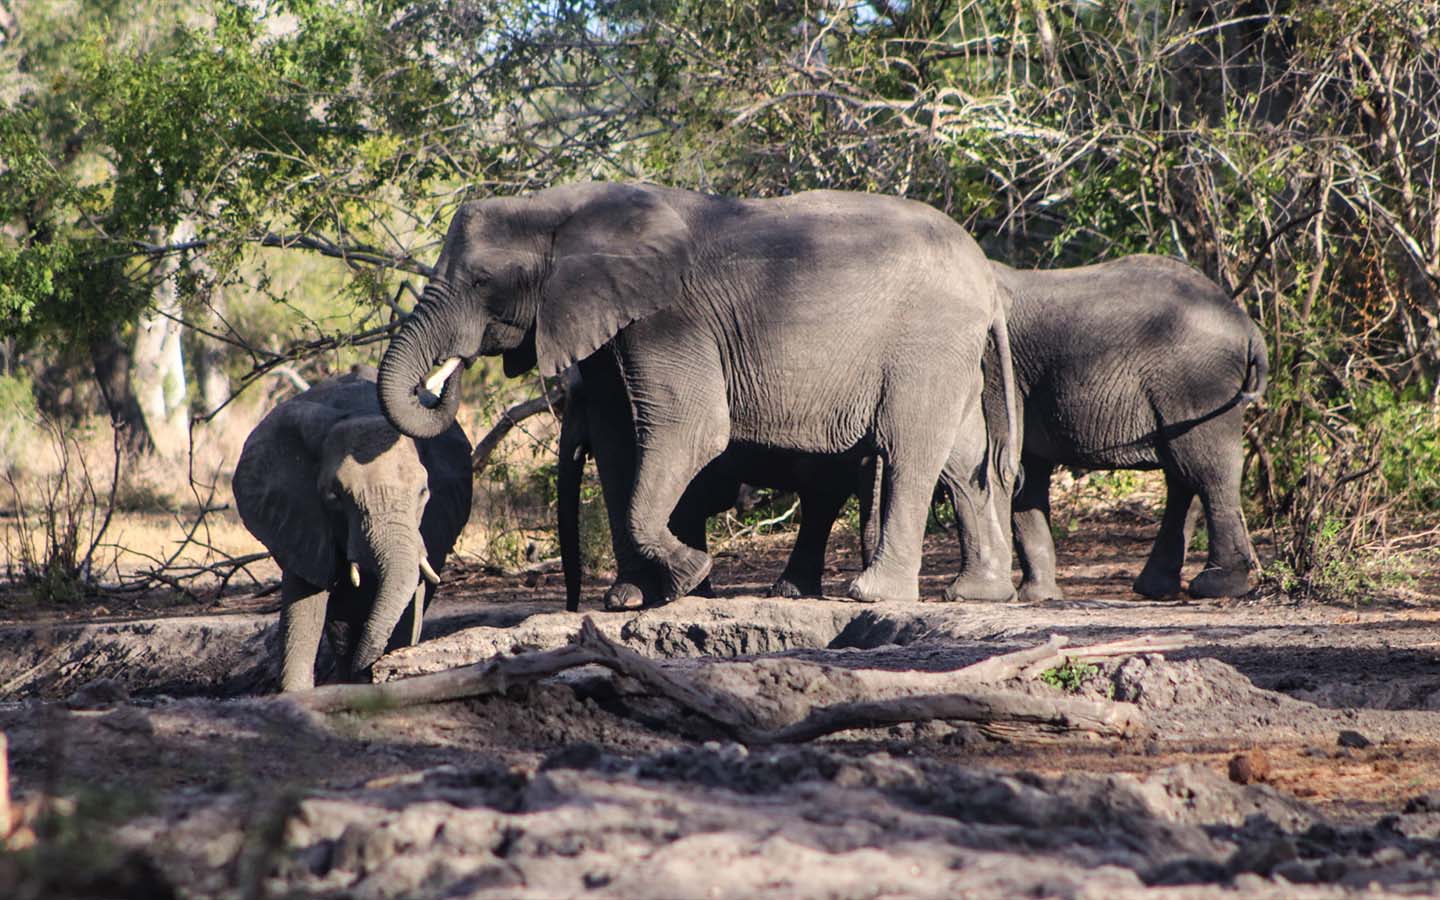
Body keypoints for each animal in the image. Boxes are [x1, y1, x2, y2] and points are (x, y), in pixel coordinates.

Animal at [234, 365, 472, 688]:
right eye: (335, 497)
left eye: (423, 492)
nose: (369, 668)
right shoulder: (301, 521)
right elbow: (304, 606)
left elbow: (410, 603)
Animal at [377, 181, 1019, 604]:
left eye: (482, 281)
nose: (449, 374)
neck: (558, 207)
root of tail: (987, 277)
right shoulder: (615, 321)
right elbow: (619, 442)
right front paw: (630, 600)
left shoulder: (669, 319)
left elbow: (690, 431)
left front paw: (685, 578)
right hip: (951, 351)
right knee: (965, 463)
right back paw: (977, 594)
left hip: (927, 340)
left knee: (910, 450)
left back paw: (872, 595)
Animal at [990, 256, 1272, 599]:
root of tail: (1248, 328)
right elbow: (1025, 475)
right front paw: (1038, 598)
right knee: (1184, 474)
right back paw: (1157, 588)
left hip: (1199, 384)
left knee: (1207, 470)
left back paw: (1217, 586)